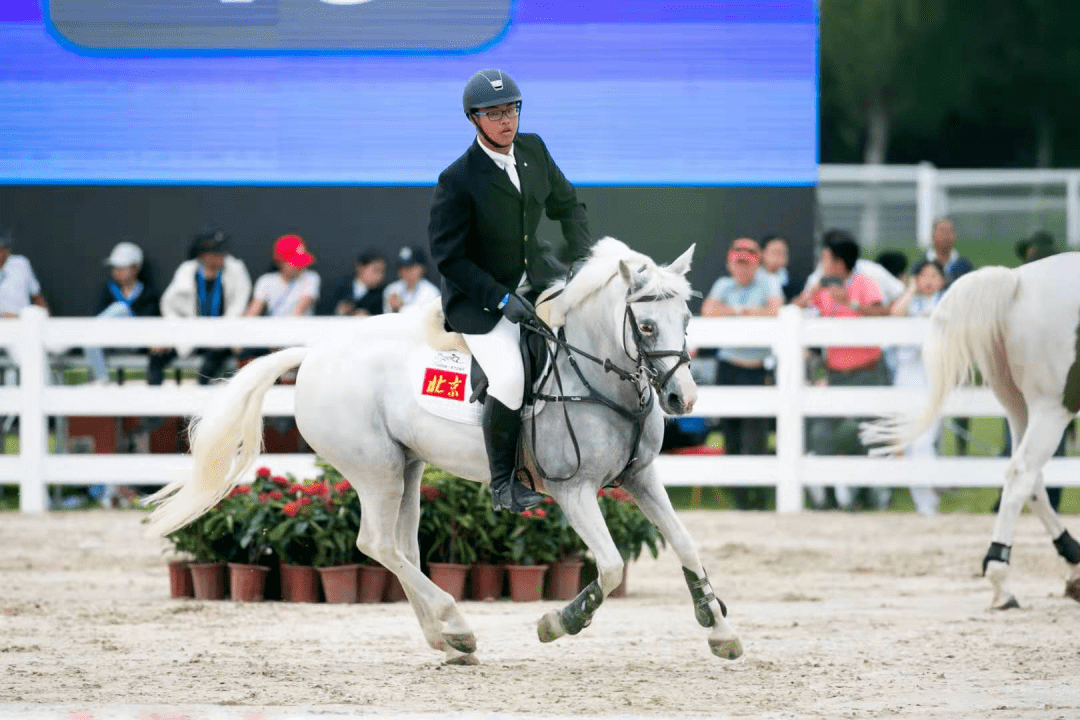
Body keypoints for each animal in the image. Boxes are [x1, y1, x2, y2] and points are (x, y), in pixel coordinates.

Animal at [147, 237, 743, 664]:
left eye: (687, 320)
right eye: (646, 325)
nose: (682, 398)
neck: (595, 373)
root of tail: (314, 353)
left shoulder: (642, 477)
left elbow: (687, 546)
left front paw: (719, 628)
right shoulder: (572, 490)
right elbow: (613, 567)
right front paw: (560, 622)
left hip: (407, 467)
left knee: (403, 547)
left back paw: (447, 641)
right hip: (377, 470)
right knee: (376, 544)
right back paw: (456, 623)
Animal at [864, 253, 1080, 608]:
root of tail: (1018, 282)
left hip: (1018, 407)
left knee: (1031, 480)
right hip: (1050, 408)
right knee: (1022, 474)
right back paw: (1001, 581)